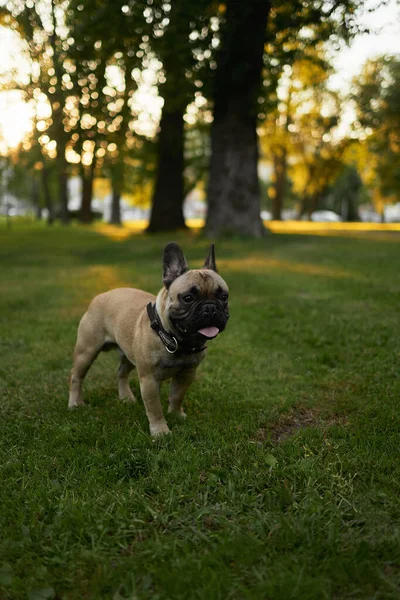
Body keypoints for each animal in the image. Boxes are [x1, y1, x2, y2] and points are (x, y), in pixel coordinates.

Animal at [69, 244, 230, 436]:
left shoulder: (186, 374)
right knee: (76, 376)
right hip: (87, 351)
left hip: (129, 355)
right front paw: (161, 431)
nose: (210, 307)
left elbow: (177, 396)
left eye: (224, 297)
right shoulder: (149, 380)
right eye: (188, 298)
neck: (177, 340)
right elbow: (154, 408)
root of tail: (101, 295)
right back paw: (75, 404)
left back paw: (126, 397)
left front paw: (176, 415)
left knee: (121, 372)